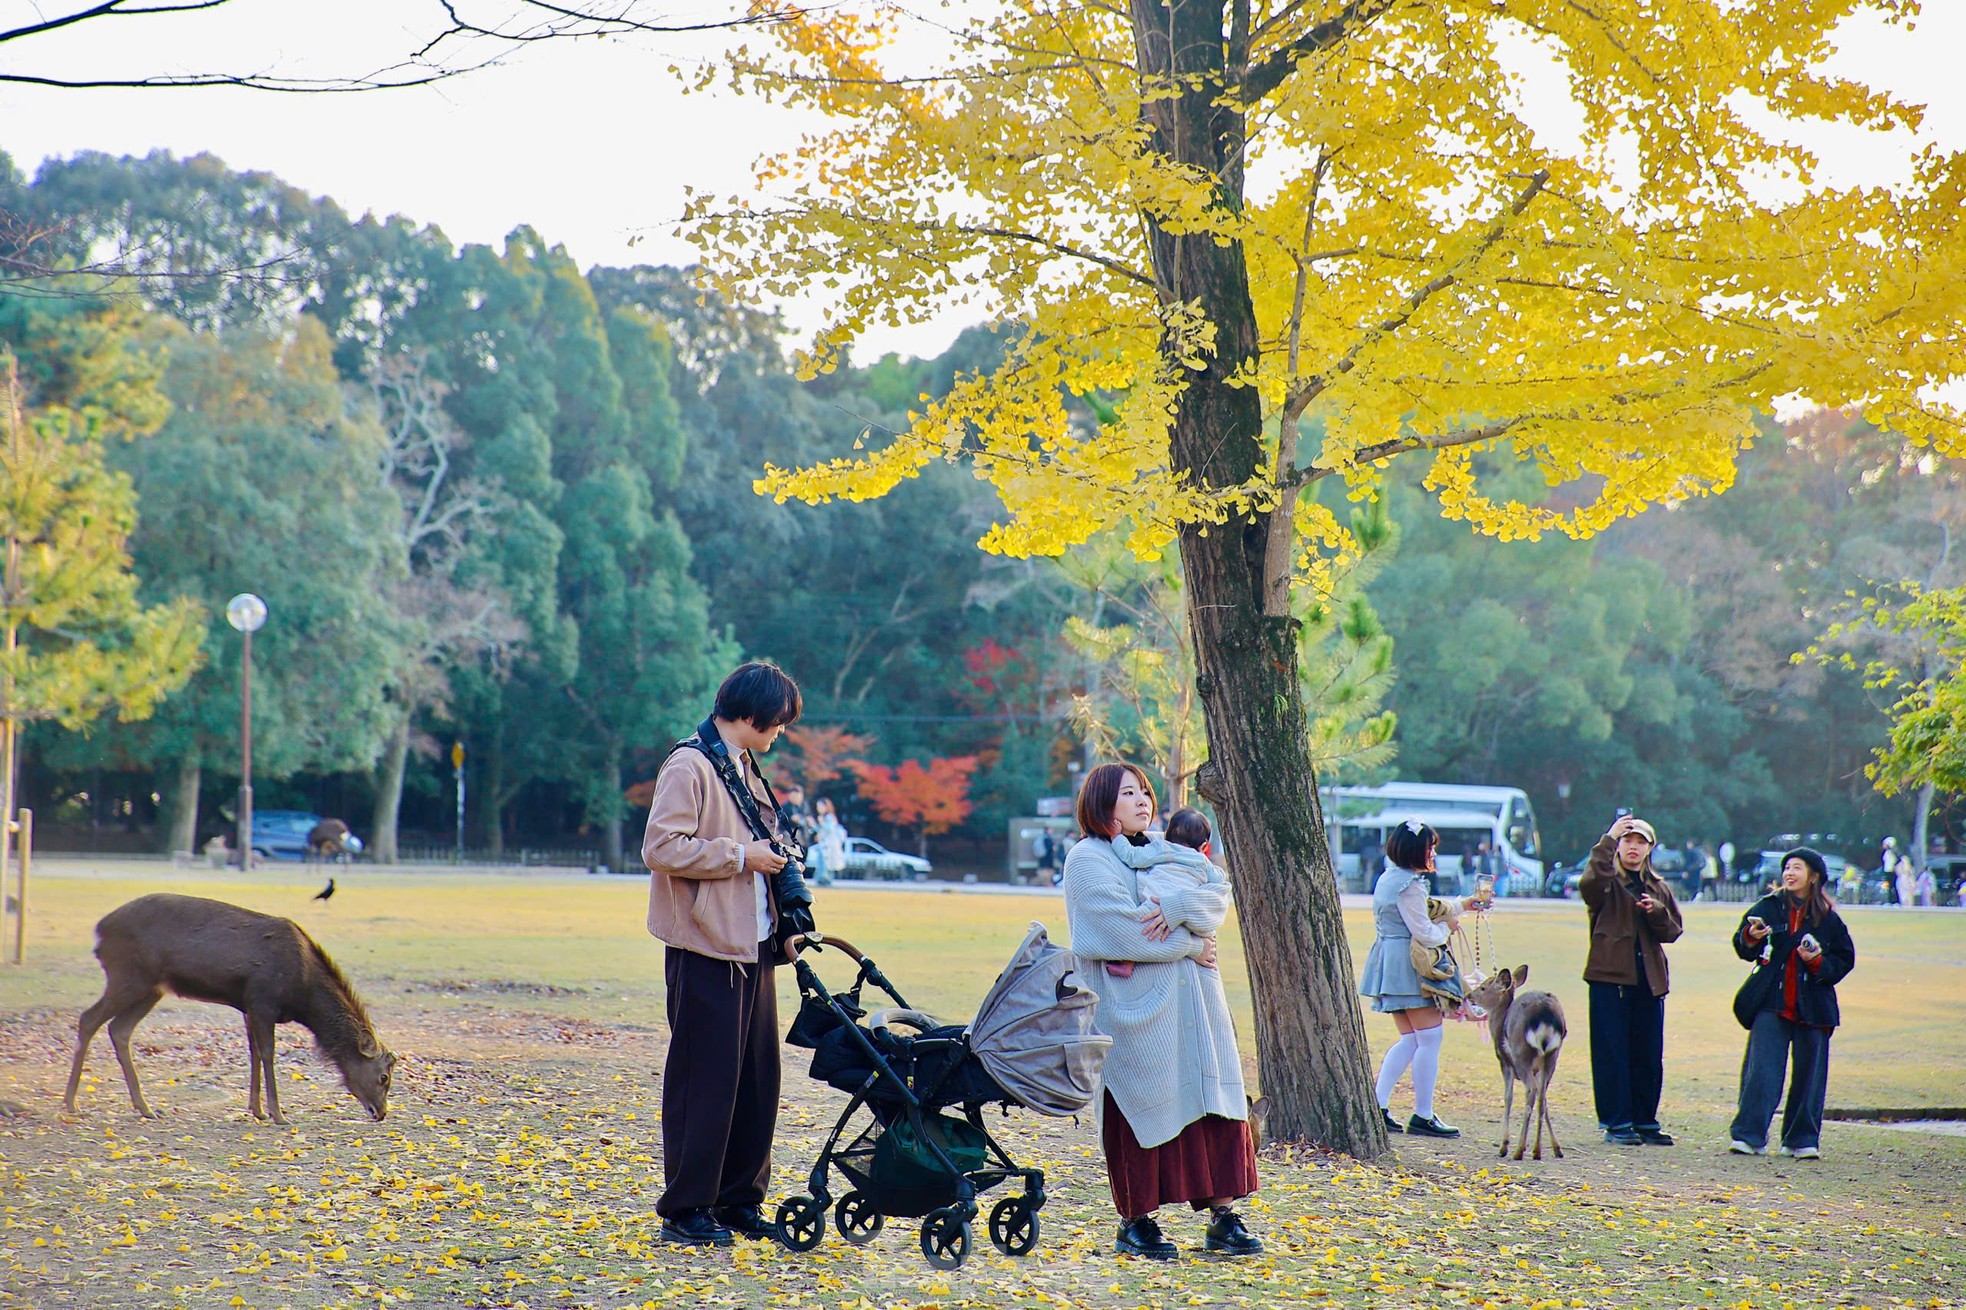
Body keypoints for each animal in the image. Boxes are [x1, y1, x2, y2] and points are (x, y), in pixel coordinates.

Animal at [66, 889, 395, 1125]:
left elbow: (253, 1054)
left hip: (151, 988)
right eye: (384, 1077)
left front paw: (257, 1110)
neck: (304, 995)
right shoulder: (263, 1001)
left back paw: (145, 1107)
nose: (380, 1112)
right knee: (88, 1019)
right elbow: (267, 1054)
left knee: (119, 1029)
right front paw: (278, 1114)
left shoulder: (248, 1007)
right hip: (129, 977)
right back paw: (71, 1103)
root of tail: (99, 931)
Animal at [1478, 959, 1564, 1156]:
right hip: (1551, 1057)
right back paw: (1537, 1150)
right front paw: (1557, 1148)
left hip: (1521, 1054)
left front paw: (1503, 1145)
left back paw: (1519, 1150)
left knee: (1531, 1090)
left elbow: (1508, 1097)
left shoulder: (1505, 1062)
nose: (1468, 995)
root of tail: (1545, 1014)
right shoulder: (1538, 1069)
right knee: (1541, 1096)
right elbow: (1545, 1102)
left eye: (1483, 987)